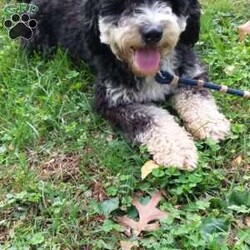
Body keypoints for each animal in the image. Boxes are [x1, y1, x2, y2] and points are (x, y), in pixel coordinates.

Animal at [22, 0, 230, 170]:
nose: (153, 33)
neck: (154, 71)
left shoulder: (190, 74)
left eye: (171, 2)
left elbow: (197, 97)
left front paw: (211, 124)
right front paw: (178, 149)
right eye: (123, 3)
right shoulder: (112, 99)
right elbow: (152, 117)